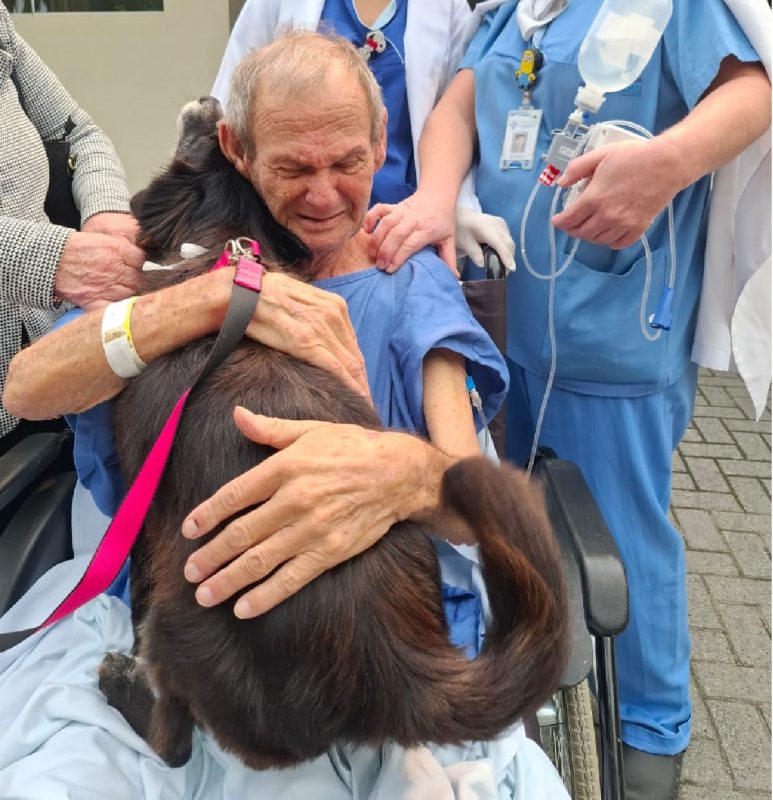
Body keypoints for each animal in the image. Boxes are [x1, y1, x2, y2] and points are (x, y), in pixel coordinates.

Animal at [98, 98, 568, 768]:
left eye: (207, 139)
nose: (211, 103)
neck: (226, 251)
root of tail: (397, 665)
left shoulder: (143, 497)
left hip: (181, 617)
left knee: (175, 743)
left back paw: (126, 688)